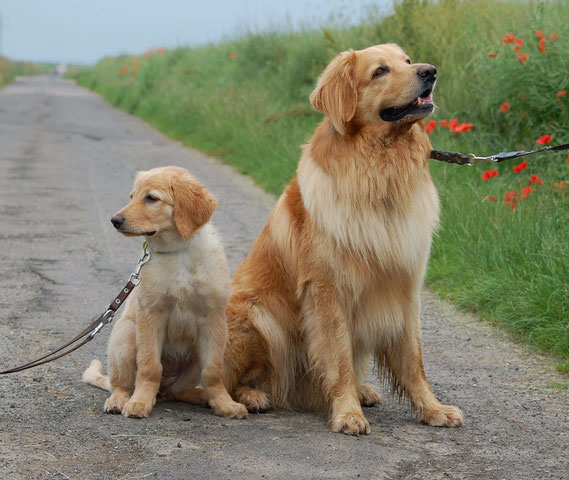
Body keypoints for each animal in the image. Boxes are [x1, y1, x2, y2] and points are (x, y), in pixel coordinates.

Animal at [82, 166, 246, 420]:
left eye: (151, 198)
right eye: (132, 197)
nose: (115, 220)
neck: (178, 252)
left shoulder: (214, 318)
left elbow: (213, 371)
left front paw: (224, 403)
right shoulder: (151, 315)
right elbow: (150, 366)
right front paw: (139, 402)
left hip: (193, 355)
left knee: (178, 391)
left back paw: (200, 396)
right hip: (125, 335)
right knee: (122, 384)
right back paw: (121, 399)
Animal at [222, 44, 462, 436]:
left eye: (408, 62)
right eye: (380, 71)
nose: (430, 71)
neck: (381, 169)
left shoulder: (405, 288)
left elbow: (413, 361)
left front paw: (432, 408)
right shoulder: (328, 291)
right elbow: (338, 358)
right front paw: (347, 412)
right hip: (256, 316)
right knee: (224, 381)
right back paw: (254, 396)